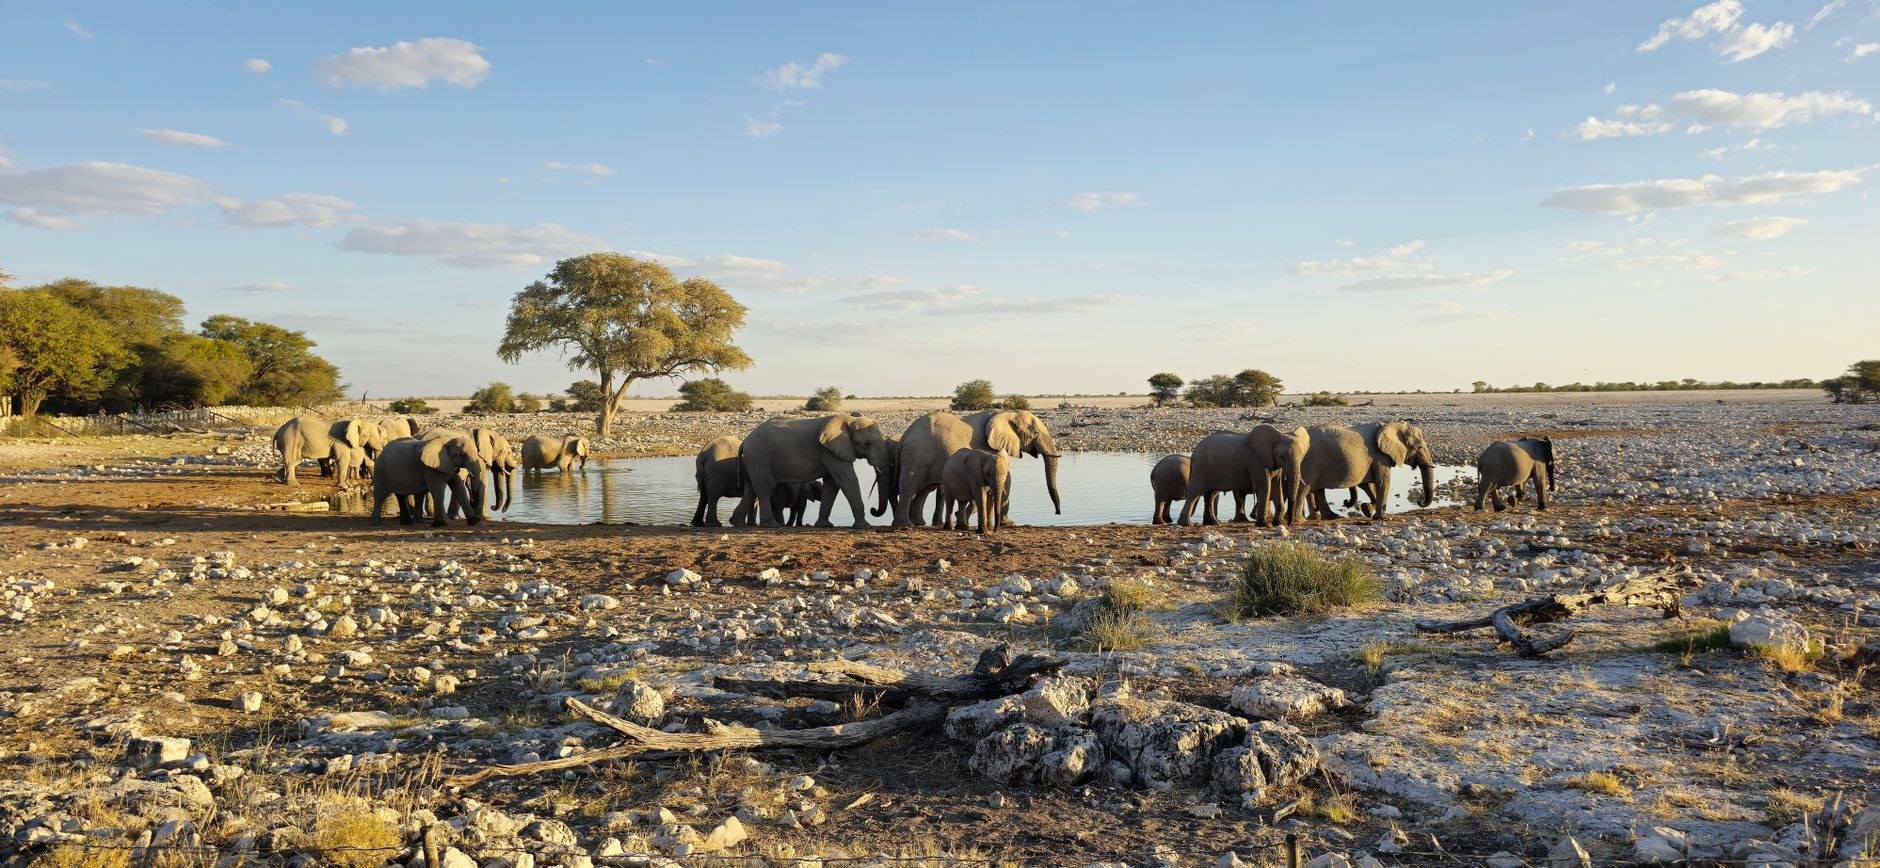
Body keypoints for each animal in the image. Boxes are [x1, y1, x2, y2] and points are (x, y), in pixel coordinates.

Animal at [735, 414, 895, 528]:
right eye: (867, 444)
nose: (873, 510)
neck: (849, 419)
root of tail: (745, 440)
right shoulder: (829, 451)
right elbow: (847, 480)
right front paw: (864, 526)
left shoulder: (832, 450)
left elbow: (832, 484)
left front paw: (825, 525)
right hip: (759, 457)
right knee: (764, 490)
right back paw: (771, 525)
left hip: (754, 460)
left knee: (750, 489)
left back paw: (737, 522)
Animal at [892, 409, 1060, 528]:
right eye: (1036, 433)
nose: (1057, 512)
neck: (1006, 412)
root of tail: (904, 437)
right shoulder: (991, 448)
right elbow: (1006, 480)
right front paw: (1008, 523)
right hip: (916, 456)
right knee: (909, 486)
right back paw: (905, 526)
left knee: (924, 489)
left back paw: (917, 523)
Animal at [1177, 425, 1309, 527]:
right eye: (1282, 457)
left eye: (1302, 457)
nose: (1290, 524)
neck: (1276, 436)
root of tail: (1194, 452)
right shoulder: (1256, 462)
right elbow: (1265, 487)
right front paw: (1264, 525)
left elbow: (1277, 487)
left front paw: (1279, 523)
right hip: (1201, 467)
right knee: (1195, 492)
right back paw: (1186, 524)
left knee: (1211, 494)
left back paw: (1213, 523)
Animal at [1298, 421, 1436, 521]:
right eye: (1420, 447)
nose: (1419, 501)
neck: (1390, 425)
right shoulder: (1379, 456)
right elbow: (1383, 481)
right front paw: (1380, 517)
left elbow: (1366, 485)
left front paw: (1367, 509)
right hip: (1313, 462)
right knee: (1307, 488)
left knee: (1319, 490)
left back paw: (1331, 517)